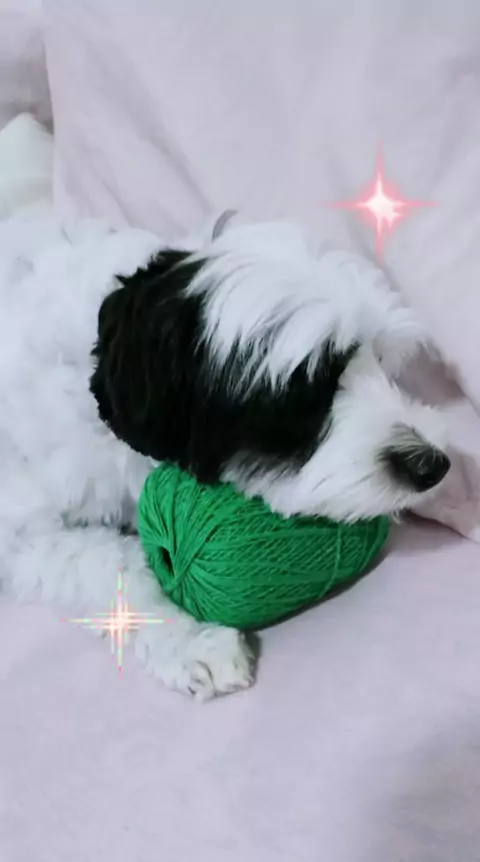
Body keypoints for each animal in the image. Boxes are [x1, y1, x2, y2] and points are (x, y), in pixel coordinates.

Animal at [0, 213, 449, 698]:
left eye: (380, 361)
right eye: (307, 395)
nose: (432, 465)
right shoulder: (21, 529)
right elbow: (113, 561)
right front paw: (190, 639)